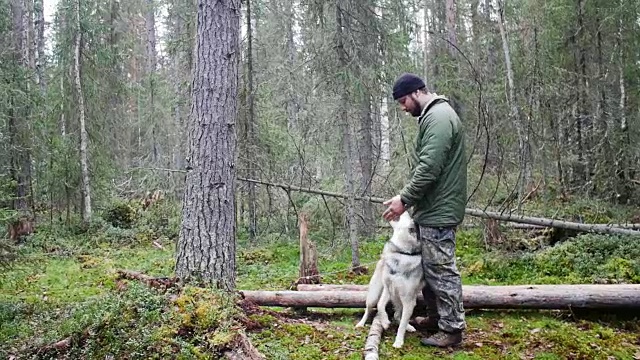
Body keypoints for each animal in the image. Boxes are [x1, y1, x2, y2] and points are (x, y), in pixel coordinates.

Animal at [356, 211, 424, 348]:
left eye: (409, 217)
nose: (406, 209)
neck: (401, 253)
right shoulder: (388, 290)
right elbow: (380, 305)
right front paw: (385, 322)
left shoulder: (408, 300)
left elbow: (402, 323)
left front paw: (398, 341)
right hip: (374, 294)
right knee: (369, 308)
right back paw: (361, 323)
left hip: (406, 299)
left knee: (399, 316)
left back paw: (408, 327)